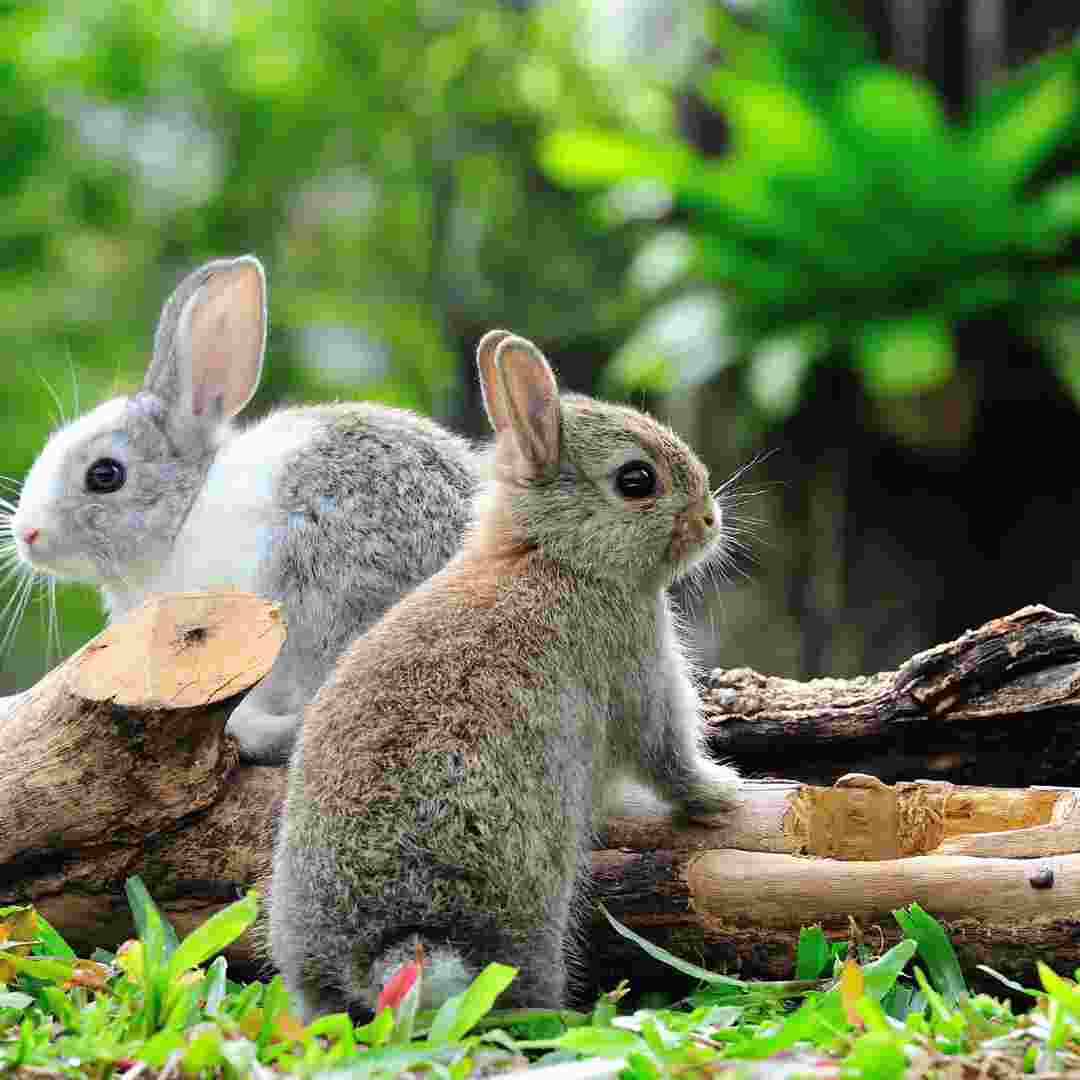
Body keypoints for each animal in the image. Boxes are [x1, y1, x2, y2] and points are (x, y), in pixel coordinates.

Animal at [270, 330, 743, 1019]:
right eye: (636, 480)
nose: (710, 520)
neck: (554, 555)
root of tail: (388, 944)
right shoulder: (638, 666)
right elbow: (668, 758)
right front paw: (723, 794)